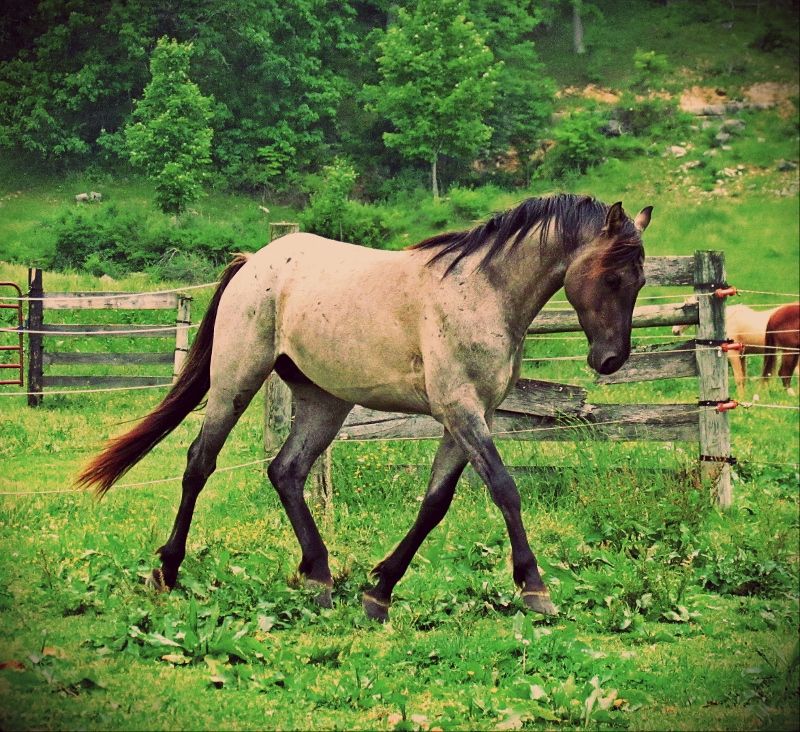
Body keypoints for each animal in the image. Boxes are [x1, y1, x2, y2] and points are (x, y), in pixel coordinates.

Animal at [76, 193, 652, 622]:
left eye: (641, 280)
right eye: (612, 276)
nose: (610, 359)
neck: (481, 291)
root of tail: (254, 263)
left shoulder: (469, 418)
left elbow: (435, 503)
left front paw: (379, 592)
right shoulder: (462, 411)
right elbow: (505, 490)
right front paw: (535, 589)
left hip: (323, 401)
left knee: (286, 471)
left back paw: (320, 577)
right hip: (235, 382)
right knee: (200, 462)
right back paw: (168, 571)